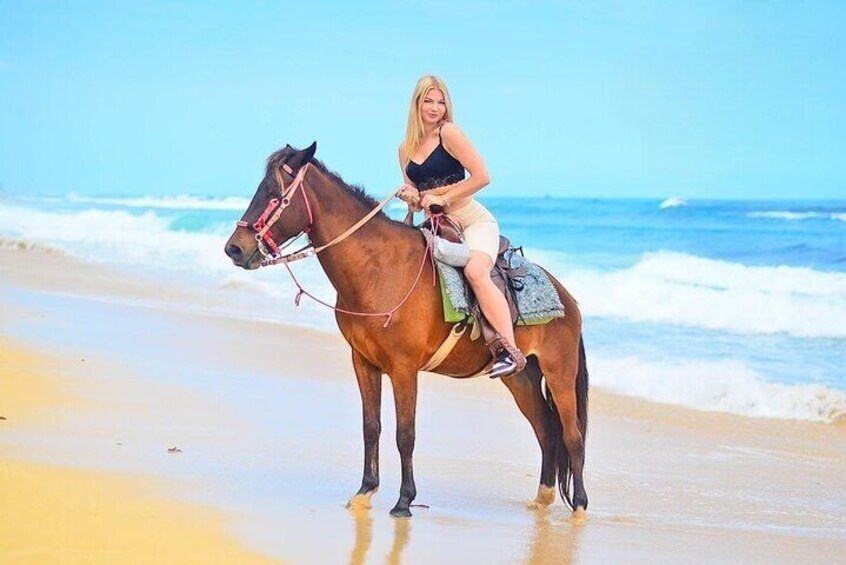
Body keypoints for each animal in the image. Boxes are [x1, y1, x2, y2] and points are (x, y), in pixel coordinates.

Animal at [225, 142, 588, 516]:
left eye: (273, 193)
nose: (234, 248)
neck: (378, 269)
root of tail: (567, 297)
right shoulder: (364, 363)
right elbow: (371, 427)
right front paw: (365, 491)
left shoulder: (403, 369)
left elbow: (405, 434)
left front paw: (404, 500)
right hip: (522, 377)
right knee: (546, 431)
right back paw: (543, 498)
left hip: (559, 372)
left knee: (572, 435)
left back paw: (579, 506)